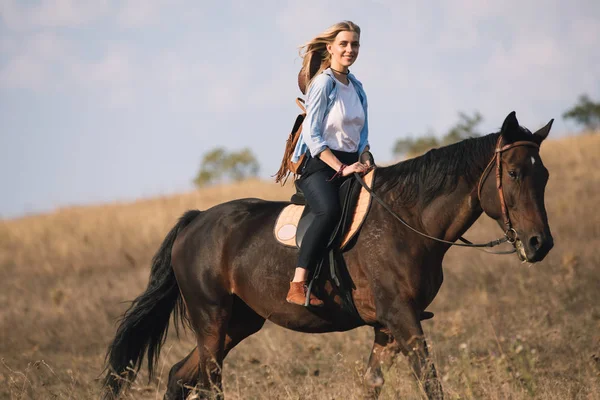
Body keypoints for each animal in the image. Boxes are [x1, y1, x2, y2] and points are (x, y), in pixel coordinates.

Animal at [102, 111, 552, 398]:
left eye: (544, 175)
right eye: (514, 173)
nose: (540, 244)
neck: (408, 220)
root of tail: (194, 223)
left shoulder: (388, 327)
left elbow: (372, 386)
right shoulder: (402, 319)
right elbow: (431, 383)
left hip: (238, 322)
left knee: (180, 377)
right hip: (210, 318)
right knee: (209, 381)